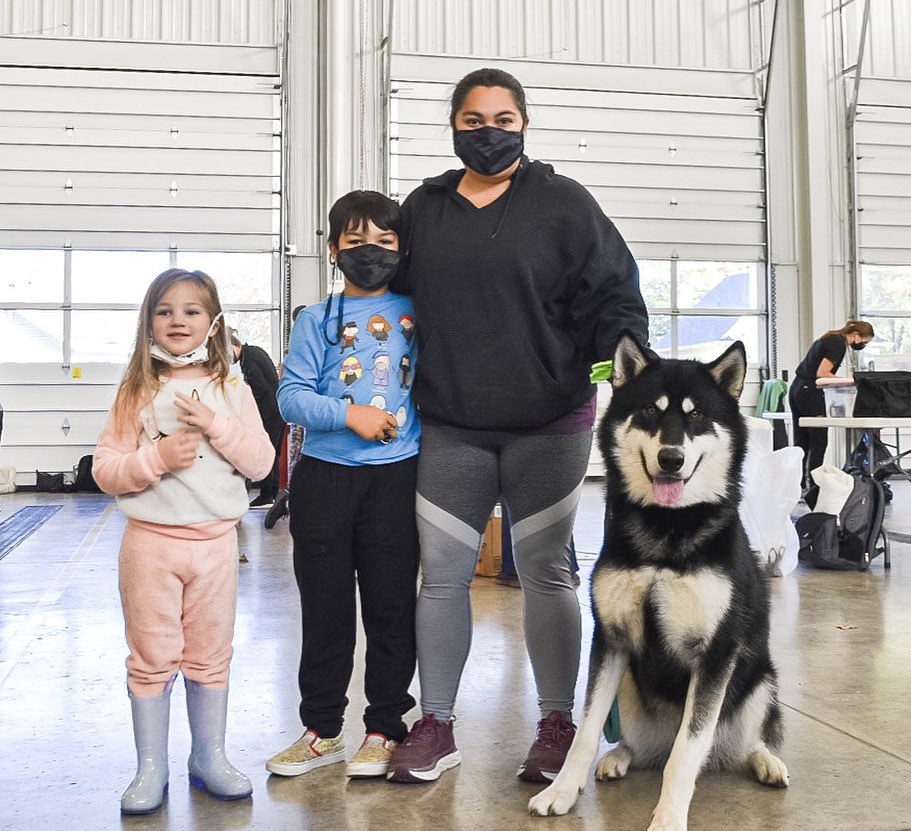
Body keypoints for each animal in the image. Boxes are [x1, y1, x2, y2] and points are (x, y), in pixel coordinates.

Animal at [532, 334, 788, 828]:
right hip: (629, 685)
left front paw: (668, 817)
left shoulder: (716, 655)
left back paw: (766, 761)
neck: (668, 527)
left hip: (759, 681)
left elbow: (685, 754)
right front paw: (562, 791)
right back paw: (619, 757)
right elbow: (585, 733)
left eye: (697, 415)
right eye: (651, 411)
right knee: (639, 744)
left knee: (740, 742)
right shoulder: (610, 639)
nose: (672, 459)